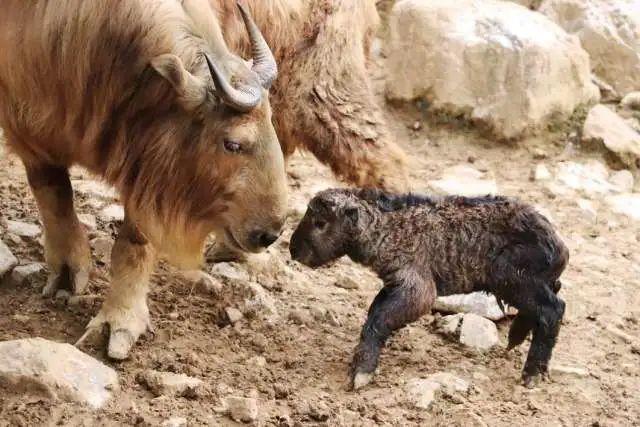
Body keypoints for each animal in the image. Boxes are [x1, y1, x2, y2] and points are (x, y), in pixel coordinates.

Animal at [288, 189, 568, 390]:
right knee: (551, 296)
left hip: (510, 275)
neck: (387, 229)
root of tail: (559, 246)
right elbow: (374, 312)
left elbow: (378, 319)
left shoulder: (418, 288)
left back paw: (532, 372)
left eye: (320, 222)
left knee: (553, 309)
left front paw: (361, 372)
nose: (293, 250)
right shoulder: (394, 284)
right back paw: (517, 336)